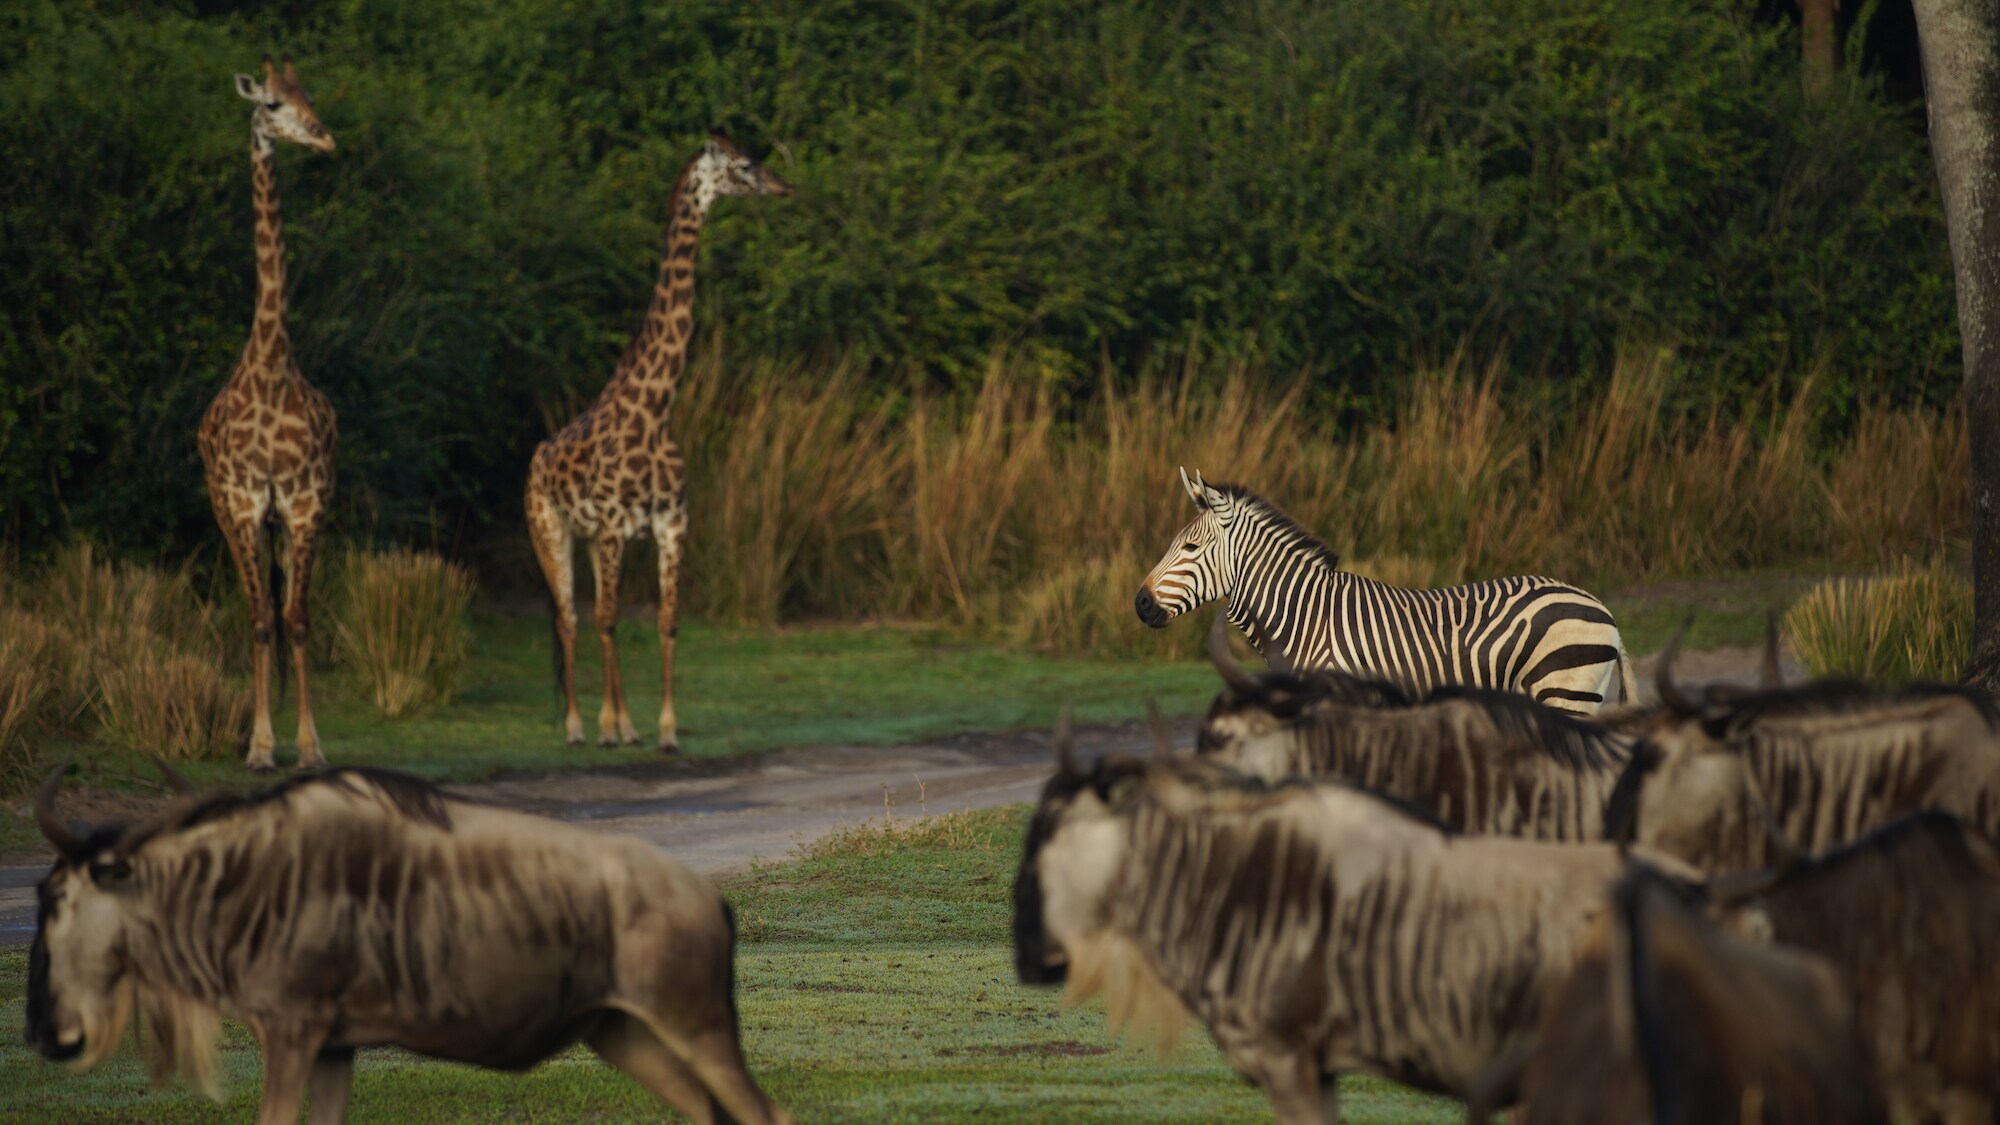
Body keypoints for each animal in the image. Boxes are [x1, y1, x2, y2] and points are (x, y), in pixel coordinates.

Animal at [528, 131, 792, 748]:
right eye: (746, 165)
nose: (783, 187)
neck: (656, 409)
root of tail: (535, 457)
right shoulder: (612, 525)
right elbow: (604, 620)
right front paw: (602, 727)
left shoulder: (670, 522)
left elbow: (667, 622)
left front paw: (666, 730)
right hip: (550, 528)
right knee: (571, 619)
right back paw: (580, 727)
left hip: (594, 539)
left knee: (599, 617)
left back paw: (624, 725)